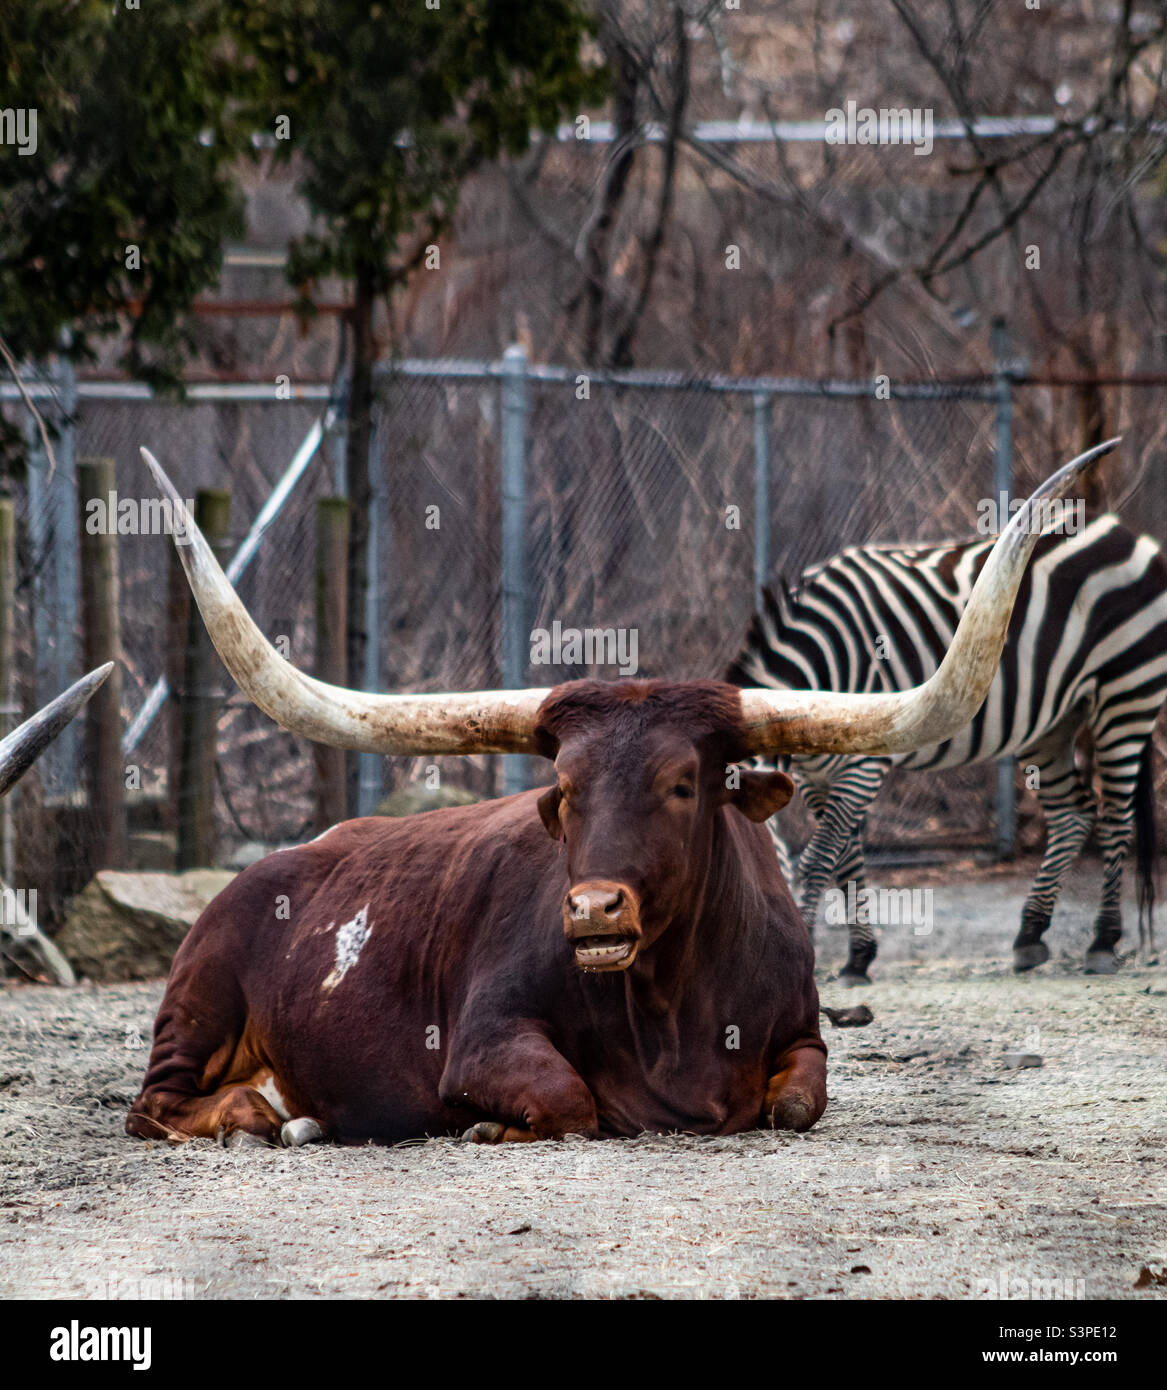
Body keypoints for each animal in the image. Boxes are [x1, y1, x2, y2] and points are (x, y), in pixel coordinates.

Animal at [125, 439, 1111, 1145]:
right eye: (563, 787)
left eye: (683, 784)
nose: (595, 910)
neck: (671, 1011)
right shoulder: (482, 1036)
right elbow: (569, 1103)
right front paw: (488, 1126)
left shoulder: (806, 1034)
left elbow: (799, 1103)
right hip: (198, 997)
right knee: (155, 1105)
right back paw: (264, 1117)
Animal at [727, 508, 1167, 978]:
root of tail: (1120, 530)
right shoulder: (815, 777)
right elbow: (845, 858)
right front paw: (860, 957)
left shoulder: (863, 765)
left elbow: (819, 858)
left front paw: (812, 953)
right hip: (1053, 722)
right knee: (1074, 813)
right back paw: (1030, 935)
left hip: (1128, 692)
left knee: (1116, 817)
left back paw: (1102, 941)